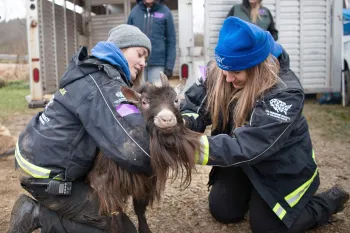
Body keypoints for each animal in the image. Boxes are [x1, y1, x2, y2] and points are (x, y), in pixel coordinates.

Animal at [86, 72, 202, 232]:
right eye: (144, 102)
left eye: (176, 100)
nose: (166, 119)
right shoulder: (105, 182)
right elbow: (115, 212)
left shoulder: (146, 181)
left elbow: (140, 208)